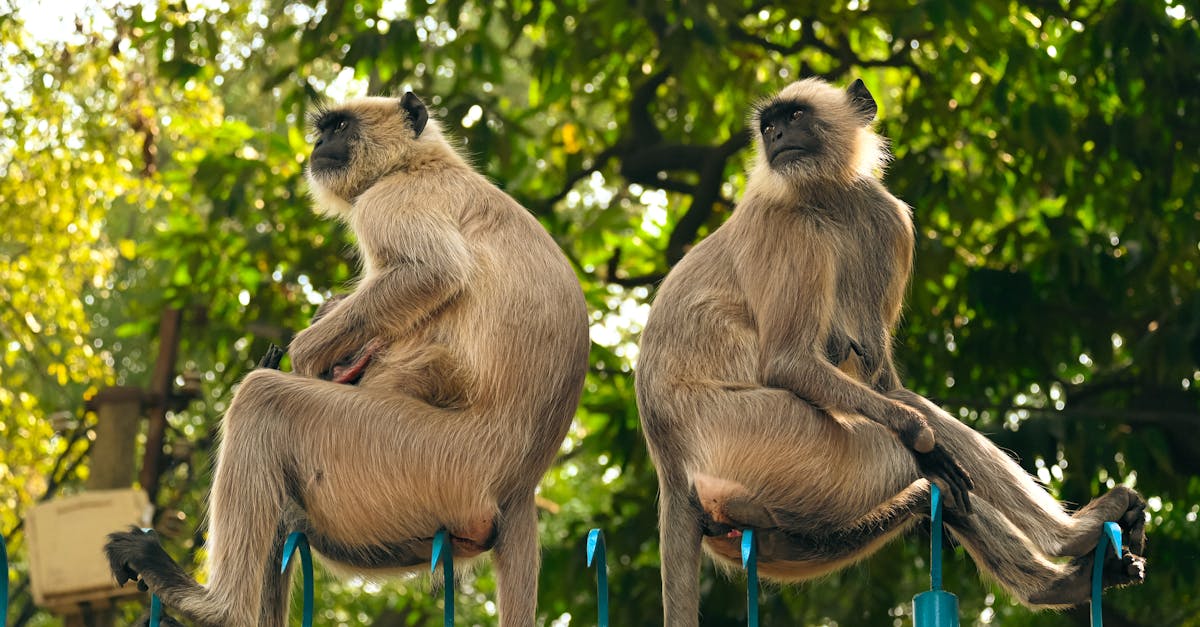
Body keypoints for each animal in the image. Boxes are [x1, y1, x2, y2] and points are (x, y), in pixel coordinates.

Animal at [108, 92, 590, 624]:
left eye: (339, 127)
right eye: (324, 130)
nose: (319, 145)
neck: (422, 162)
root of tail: (518, 486)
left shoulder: (393, 197)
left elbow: (432, 271)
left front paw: (305, 355)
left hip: (426, 458)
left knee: (264, 400)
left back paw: (213, 607)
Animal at [633, 75, 1147, 619]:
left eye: (793, 118)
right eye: (768, 126)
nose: (775, 139)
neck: (825, 198)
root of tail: (670, 465)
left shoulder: (886, 219)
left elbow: (882, 380)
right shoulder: (788, 228)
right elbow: (791, 364)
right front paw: (917, 431)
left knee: (931, 486)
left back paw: (1060, 582)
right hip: (766, 437)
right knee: (924, 457)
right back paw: (1069, 536)